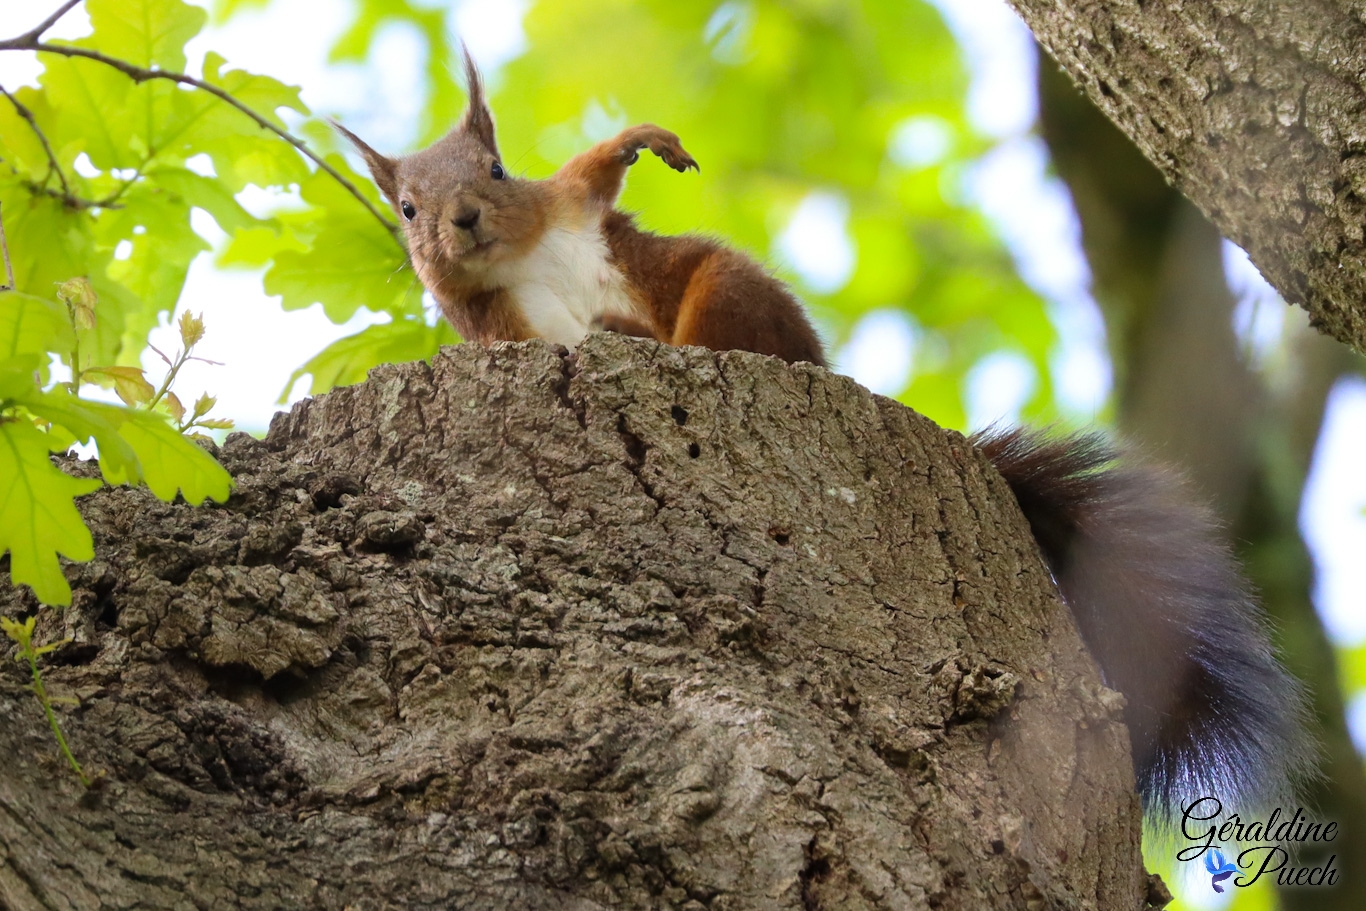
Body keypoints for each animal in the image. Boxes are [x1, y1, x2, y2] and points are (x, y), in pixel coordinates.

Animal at [338, 57, 1311, 824]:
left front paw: (643, 140)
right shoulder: (493, 329)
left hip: (723, 287)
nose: (461, 218)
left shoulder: (565, 205)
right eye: (407, 208)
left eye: (497, 168)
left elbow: (592, 173)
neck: (518, 258)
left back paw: (648, 337)